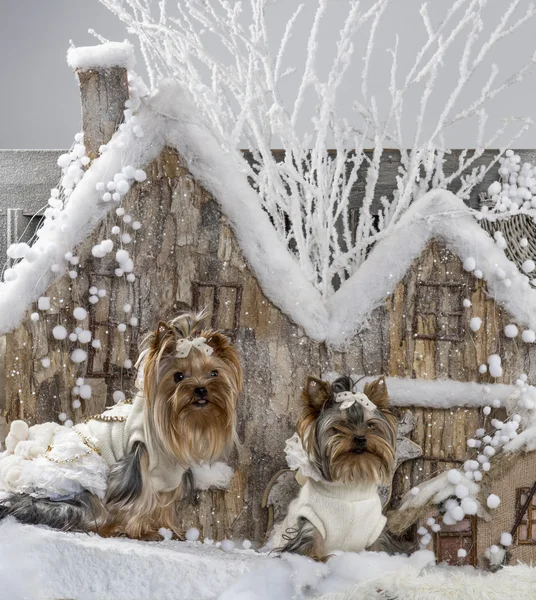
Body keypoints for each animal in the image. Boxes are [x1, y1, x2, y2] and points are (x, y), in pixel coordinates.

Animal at [0, 314, 241, 540]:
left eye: (214, 373)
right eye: (178, 376)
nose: (201, 390)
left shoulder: (169, 478)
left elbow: (164, 504)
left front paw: (167, 529)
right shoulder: (136, 463)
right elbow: (138, 501)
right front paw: (141, 532)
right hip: (81, 493)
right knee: (93, 514)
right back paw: (109, 528)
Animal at [274, 372, 396, 560]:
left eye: (370, 425)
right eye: (339, 426)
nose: (360, 438)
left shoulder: (375, 530)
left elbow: (378, 548)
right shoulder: (311, 523)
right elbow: (308, 547)